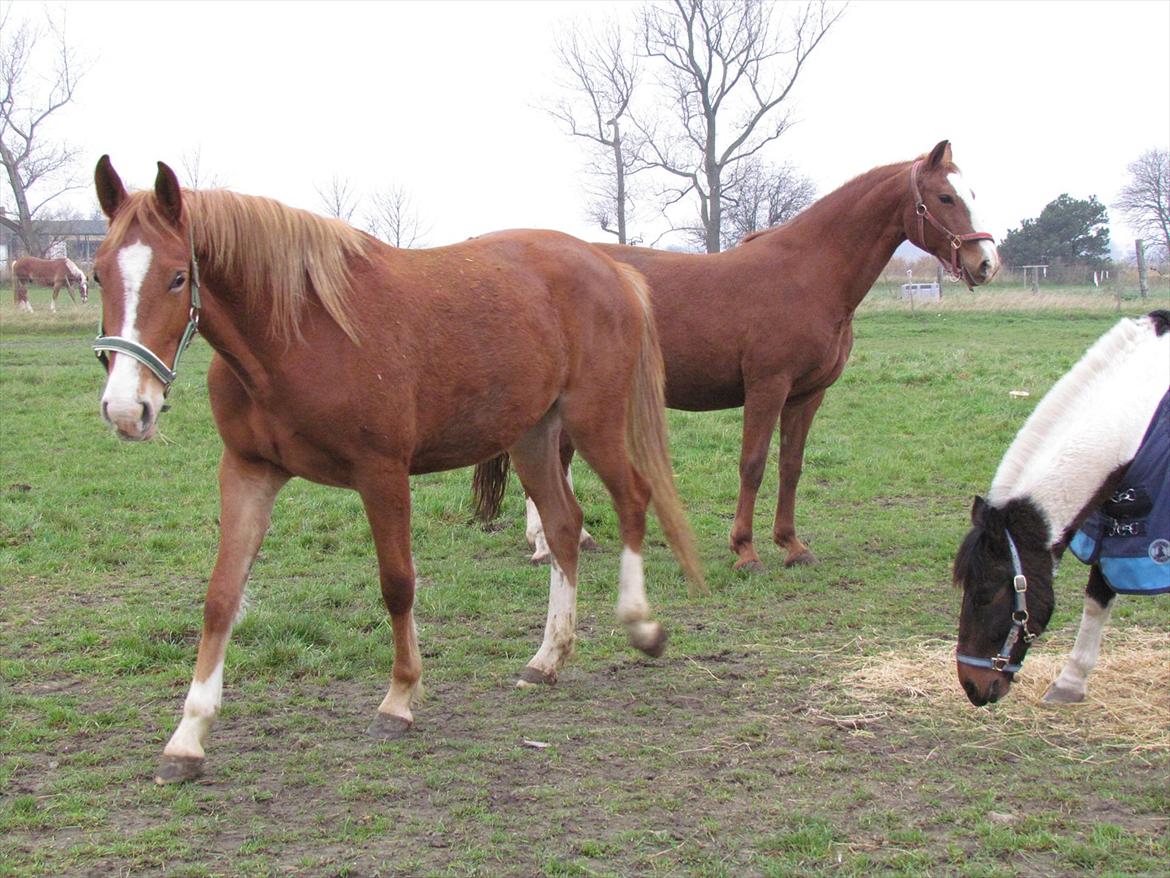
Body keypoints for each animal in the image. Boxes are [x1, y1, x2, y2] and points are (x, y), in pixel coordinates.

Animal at [93, 156, 702, 782]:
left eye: (176, 278)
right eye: (97, 275)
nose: (126, 409)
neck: (300, 334)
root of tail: (614, 271)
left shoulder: (381, 474)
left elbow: (397, 584)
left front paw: (400, 699)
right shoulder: (247, 472)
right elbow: (221, 597)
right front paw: (188, 737)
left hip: (594, 421)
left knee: (632, 500)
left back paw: (642, 626)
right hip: (534, 436)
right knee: (561, 527)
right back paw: (548, 658)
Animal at [472, 139, 996, 571]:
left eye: (972, 193)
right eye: (945, 198)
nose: (986, 263)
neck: (808, 275)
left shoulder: (807, 395)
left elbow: (791, 466)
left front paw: (792, 545)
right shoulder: (767, 387)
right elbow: (753, 463)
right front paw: (745, 551)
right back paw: (547, 546)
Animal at [954, 311, 1165, 707]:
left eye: (985, 592)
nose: (972, 686)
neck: (1139, 422)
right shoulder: (1114, 528)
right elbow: (1098, 597)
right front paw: (1070, 682)